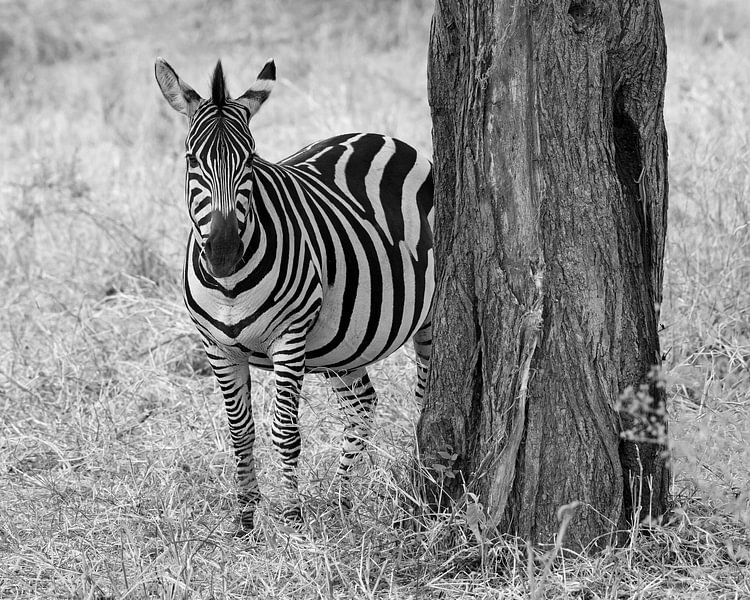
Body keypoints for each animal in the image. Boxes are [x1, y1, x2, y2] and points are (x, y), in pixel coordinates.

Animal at [154, 57, 433, 532]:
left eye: (250, 160)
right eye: (191, 160)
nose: (224, 254)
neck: (230, 286)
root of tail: (384, 138)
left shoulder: (291, 335)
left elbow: (284, 430)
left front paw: (290, 517)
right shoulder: (216, 347)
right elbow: (239, 430)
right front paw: (246, 517)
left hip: (430, 318)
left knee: (424, 398)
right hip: (345, 341)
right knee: (360, 405)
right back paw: (341, 499)